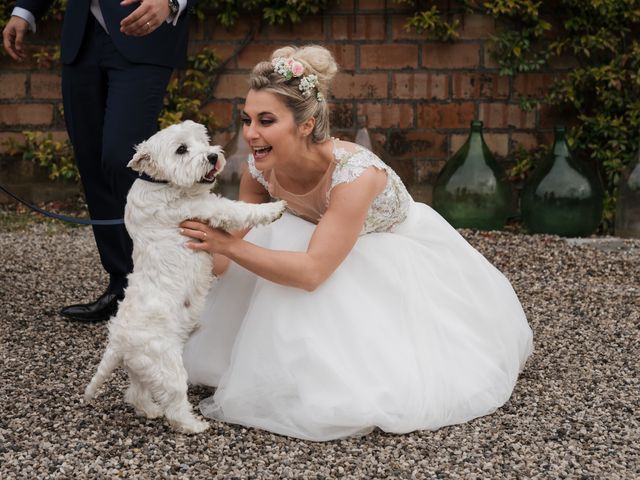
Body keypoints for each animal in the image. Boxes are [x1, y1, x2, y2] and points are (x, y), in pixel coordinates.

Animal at [85, 119, 284, 432]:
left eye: (202, 140)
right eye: (181, 149)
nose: (213, 156)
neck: (162, 184)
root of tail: (118, 342)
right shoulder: (205, 209)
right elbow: (238, 210)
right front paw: (275, 208)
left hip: (143, 368)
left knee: (137, 393)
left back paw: (150, 411)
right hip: (168, 366)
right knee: (175, 404)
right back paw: (193, 424)